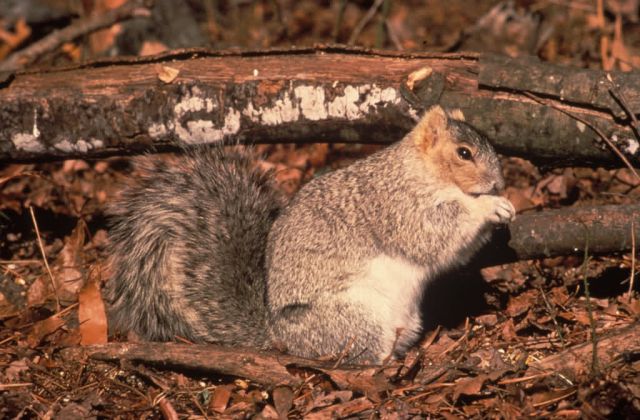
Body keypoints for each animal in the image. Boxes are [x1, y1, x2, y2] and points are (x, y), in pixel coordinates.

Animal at [106, 105, 515, 364]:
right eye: (464, 153)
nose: (499, 181)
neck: (421, 171)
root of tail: (278, 336)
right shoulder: (396, 206)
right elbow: (432, 235)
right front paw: (488, 206)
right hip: (354, 318)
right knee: (363, 354)